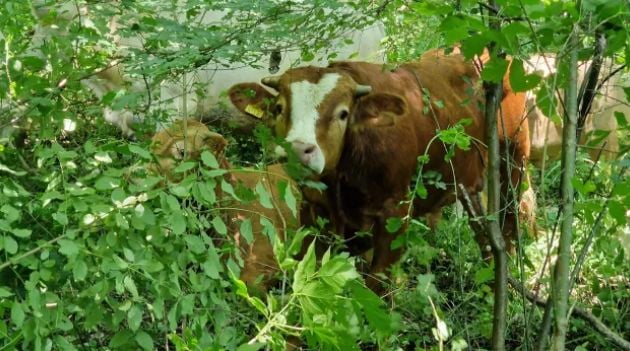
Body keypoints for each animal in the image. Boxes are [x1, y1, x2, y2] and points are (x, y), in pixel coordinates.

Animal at [230, 50, 532, 292]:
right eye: (279, 108)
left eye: (343, 113)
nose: (298, 149)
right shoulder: (315, 211)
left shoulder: (395, 214)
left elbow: (376, 285)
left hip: (514, 158)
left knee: (509, 225)